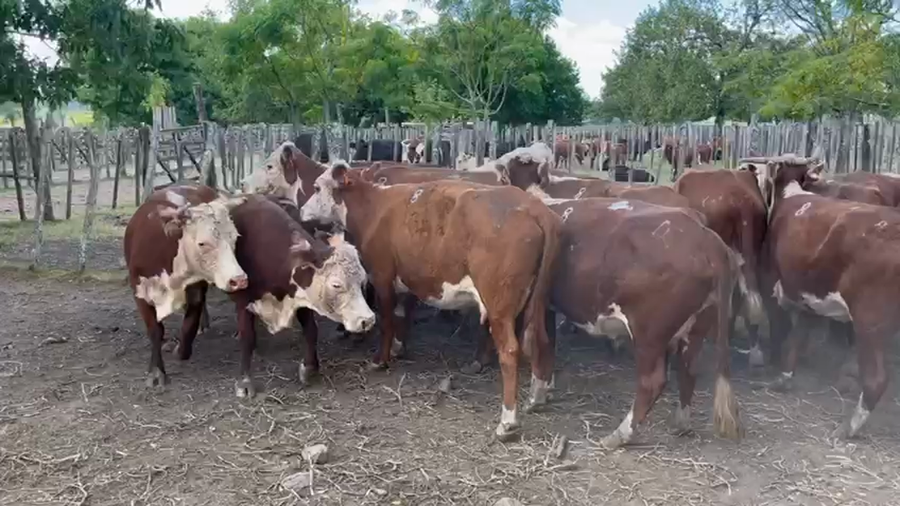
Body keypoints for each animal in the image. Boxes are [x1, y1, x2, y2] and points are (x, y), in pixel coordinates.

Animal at [124, 185, 249, 388]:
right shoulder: (140, 292)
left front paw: (181, 349)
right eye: (202, 243)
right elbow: (155, 331)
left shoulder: (196, 290)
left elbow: (189, 326)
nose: (239, 279)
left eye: (234, 237)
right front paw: (156, 372)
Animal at [300, 161, 563, 441]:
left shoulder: (382, 276)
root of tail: (533, 206)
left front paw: (380, 360)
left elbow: (386, 321)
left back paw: (508, 422)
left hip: (499, 304)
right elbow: (401, 316)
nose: (302, 211)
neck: (373, 206)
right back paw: (537, 396)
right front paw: (398, 348)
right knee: (540, 340)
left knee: (511, 350)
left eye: (316, 187)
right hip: (536, 300)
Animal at [471, 196, 743, 448]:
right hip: (696, 328)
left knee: (652, 382)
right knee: (688, 370)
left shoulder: (542, 305)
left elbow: (542, 348)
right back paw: (681, 423)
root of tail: (707, 239)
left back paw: (619, 436)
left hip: (649, 333)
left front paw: (535, 398)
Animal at [751, 156, 900, 439]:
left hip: (869, 322)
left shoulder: (771, 284)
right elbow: (798, 336)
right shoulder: (808, 293)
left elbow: (781, 330)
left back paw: (849, 427)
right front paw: (784, 377)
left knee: (876, 380)